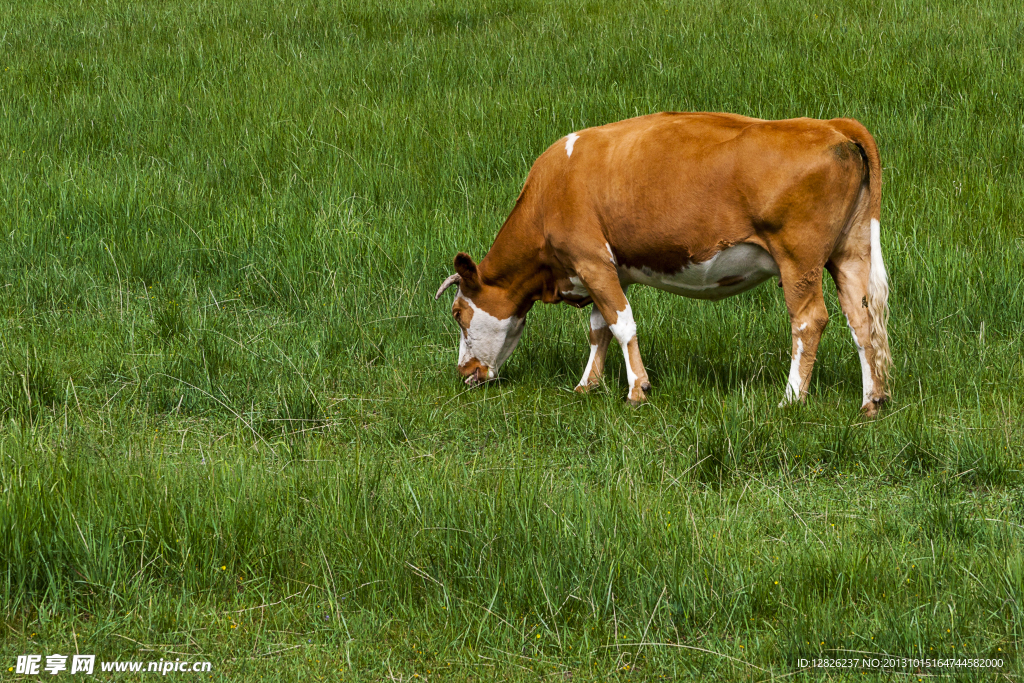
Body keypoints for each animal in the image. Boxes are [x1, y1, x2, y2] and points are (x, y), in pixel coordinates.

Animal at [436, 111, 892, 417]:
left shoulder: (591, 260)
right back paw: (871, 400)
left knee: (809, 320)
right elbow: (599, 328)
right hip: (849, 254)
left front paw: (637, 390)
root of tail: (830, 124)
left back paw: (791, 398)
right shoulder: (610, 271)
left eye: (458, 313)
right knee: (861, 318)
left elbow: (622, 324)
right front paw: (587, 385)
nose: (464, 372)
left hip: (798, 260)